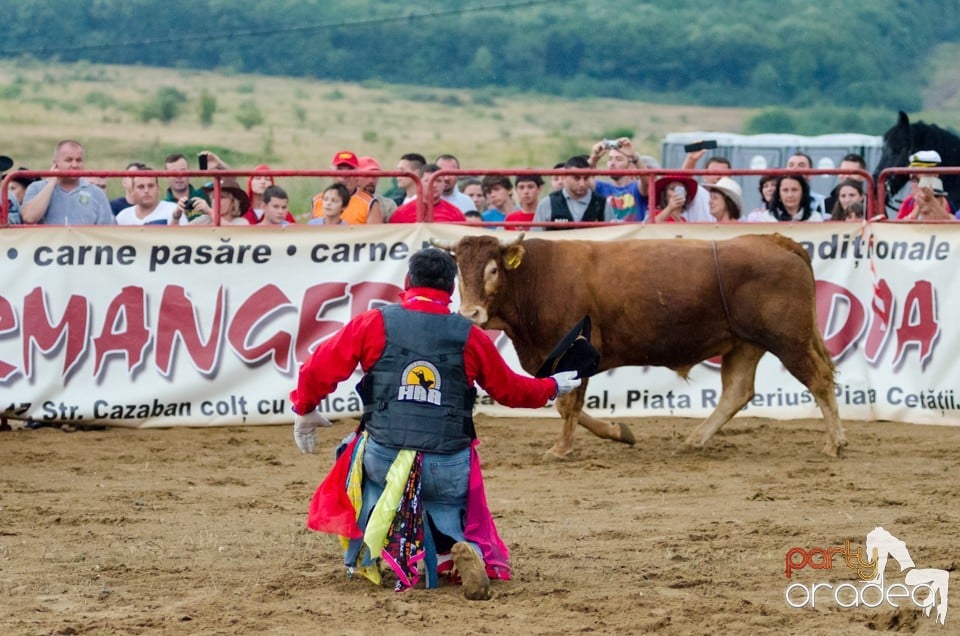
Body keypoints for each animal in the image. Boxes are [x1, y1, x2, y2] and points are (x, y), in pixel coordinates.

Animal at [436, 234, 848, 458]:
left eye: (492, 270)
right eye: (460, 272)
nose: (470, 314)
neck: (535, 277)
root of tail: (776, 241)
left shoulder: (575, 351)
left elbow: (568, 405)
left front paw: (561, 449)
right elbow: (563, 403)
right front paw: (618, 431)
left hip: (788, 340)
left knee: (819, 379)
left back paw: (835, 443)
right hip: (744, 344)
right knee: (738, 391)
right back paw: (694, 441)